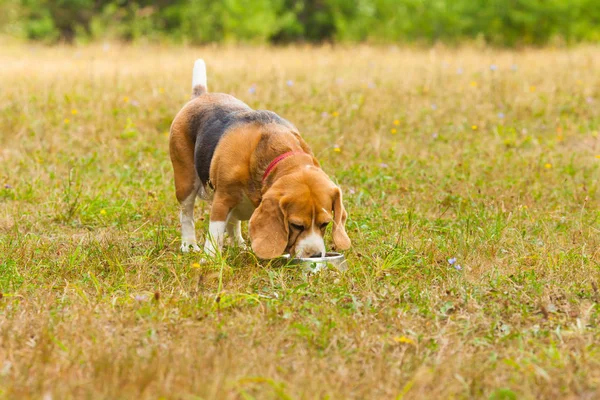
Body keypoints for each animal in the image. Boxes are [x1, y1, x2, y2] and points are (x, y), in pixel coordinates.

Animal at [168, 59, 352, 260]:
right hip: (185, 181)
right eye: (296, 225)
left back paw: (239, 245)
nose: (315, 256)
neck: (279, 154)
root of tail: (201, 95)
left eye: (325, 223)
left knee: (233, 222)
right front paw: (210, 259)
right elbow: (215, 233)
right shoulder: (222, 200)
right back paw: (189, 245)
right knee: (187, 214)